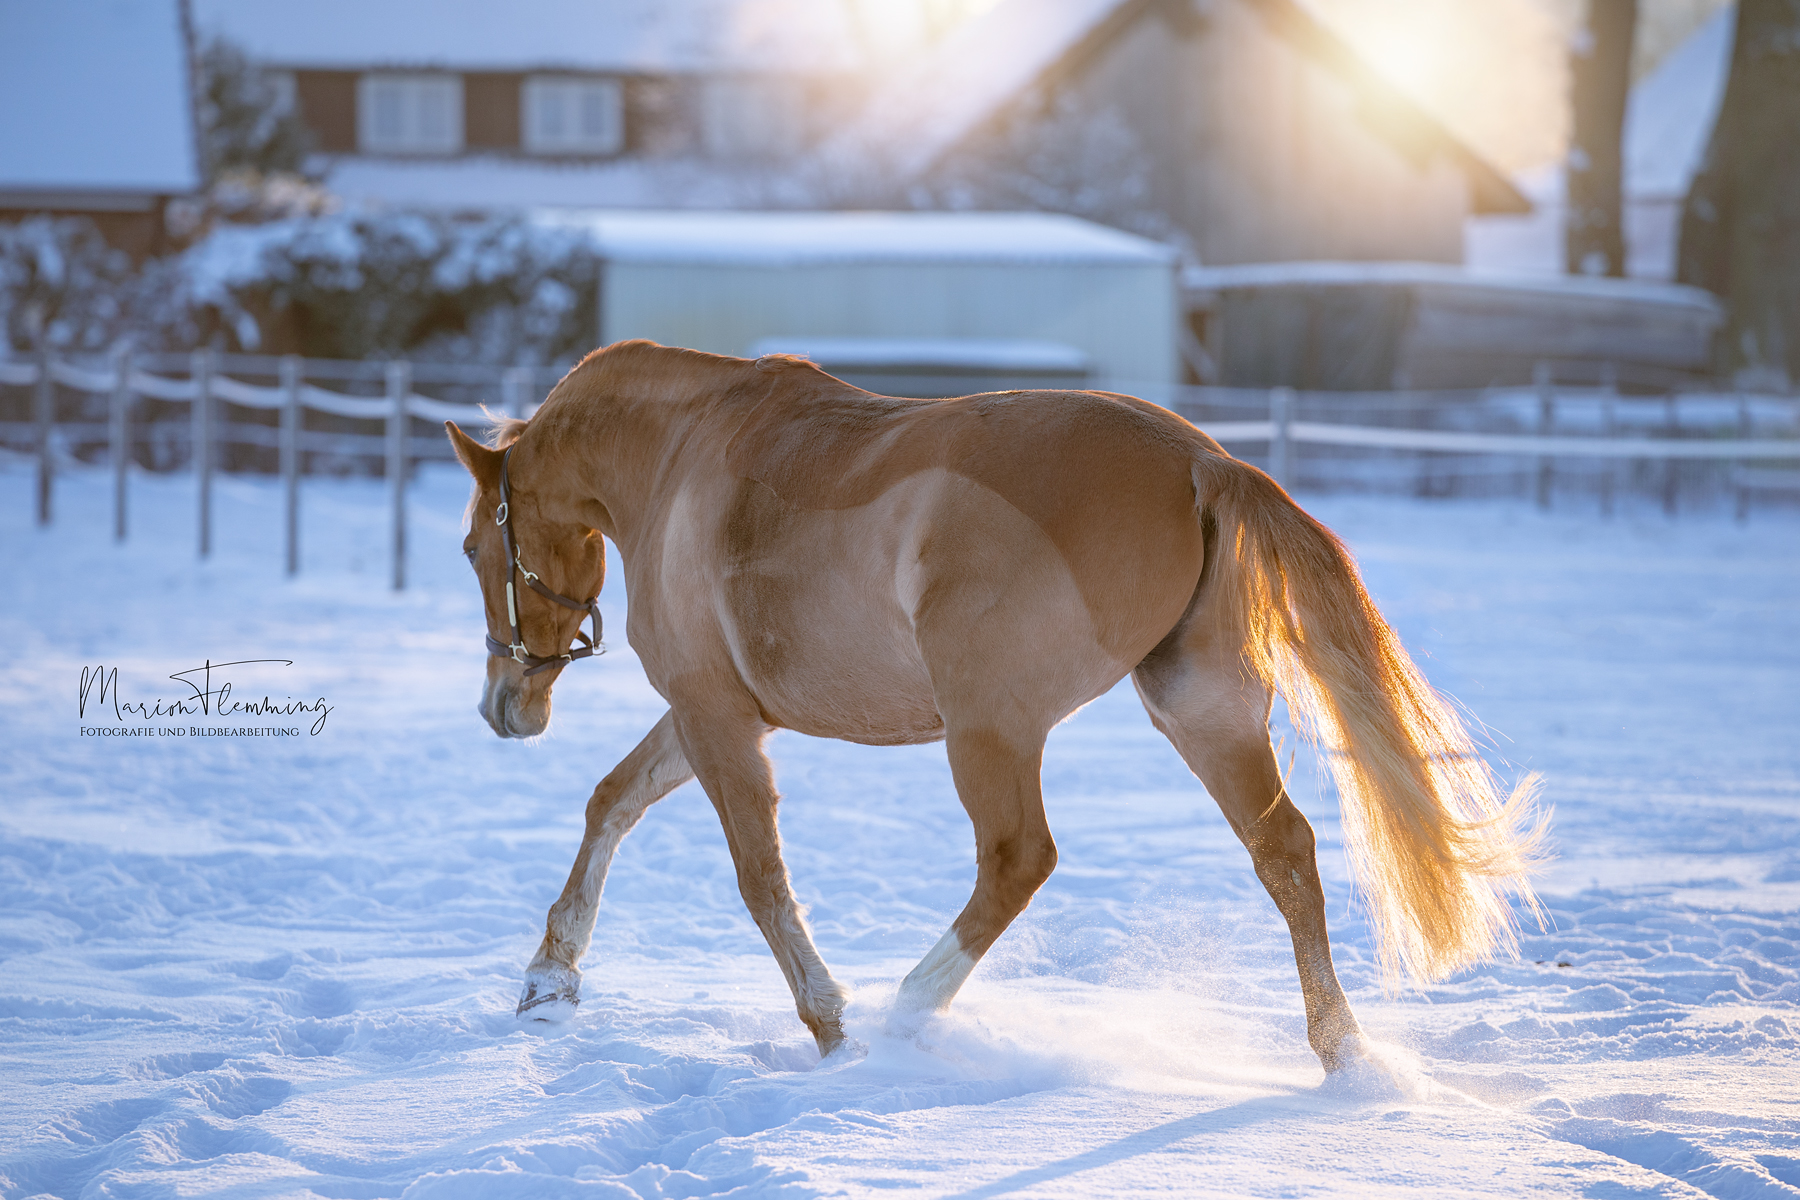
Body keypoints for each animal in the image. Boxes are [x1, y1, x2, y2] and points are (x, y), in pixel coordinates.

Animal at [442, 338, 1540, 1072]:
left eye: (471, 546)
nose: (505, 705)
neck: (677, 461)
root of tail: (1204, 463)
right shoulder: (718, 713)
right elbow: (611, 801)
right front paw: (548, 981)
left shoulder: (718, 720)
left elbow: (758, 878)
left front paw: (831, 1024)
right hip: (1201, 712)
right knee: (1287, 852)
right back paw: (1343, 1053)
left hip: (989, 729)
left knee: (1019, 859)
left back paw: (905, 1013)